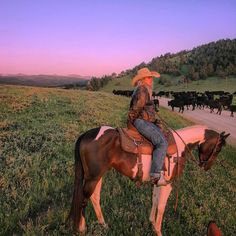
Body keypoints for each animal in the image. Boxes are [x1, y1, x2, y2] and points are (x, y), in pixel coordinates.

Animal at [67, 124, 230, 235]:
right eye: (218, 148)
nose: (207, 167)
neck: (179, 147)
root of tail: (86, 134)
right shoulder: (168, 185)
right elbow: (162, 207)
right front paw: (158, 231)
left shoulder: (158, 182)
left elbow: (155, 201)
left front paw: (151, 223)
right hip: (93, 177)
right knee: (84, 199)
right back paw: (81, 227)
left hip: (97, 176)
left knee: (94, 197)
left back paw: (103, 224)